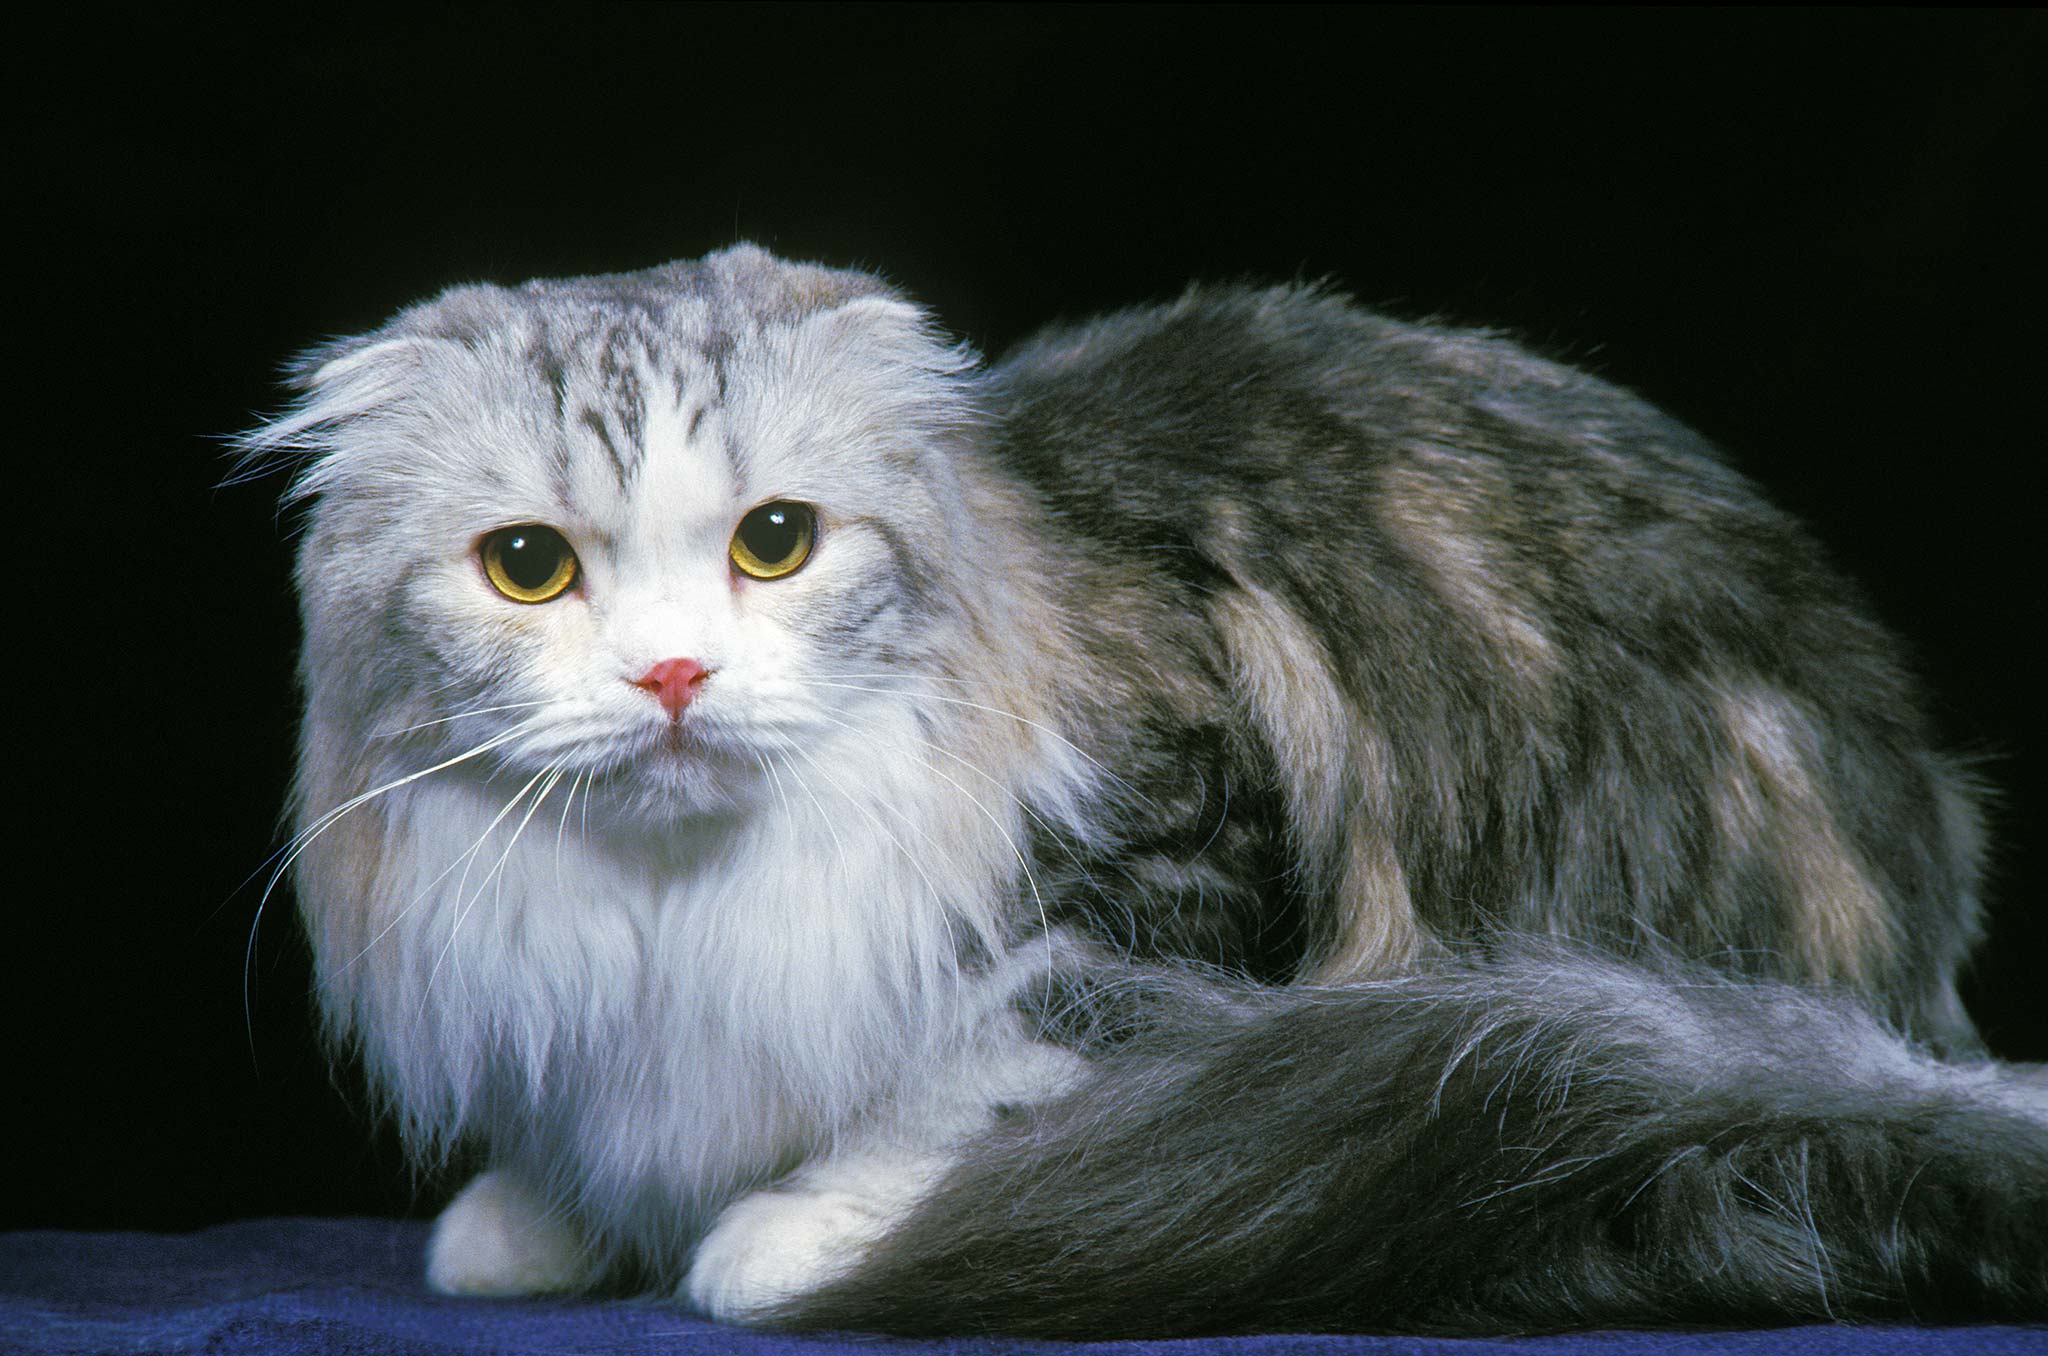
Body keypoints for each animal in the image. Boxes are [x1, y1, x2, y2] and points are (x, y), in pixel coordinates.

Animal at [243, 244, 2048, 1335]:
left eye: (776, 542)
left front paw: (795, 1233)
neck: (679, 901)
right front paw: (535, 1222)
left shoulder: (1175, 845)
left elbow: (984, 1066)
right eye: (529, 568)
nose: (673, 675)